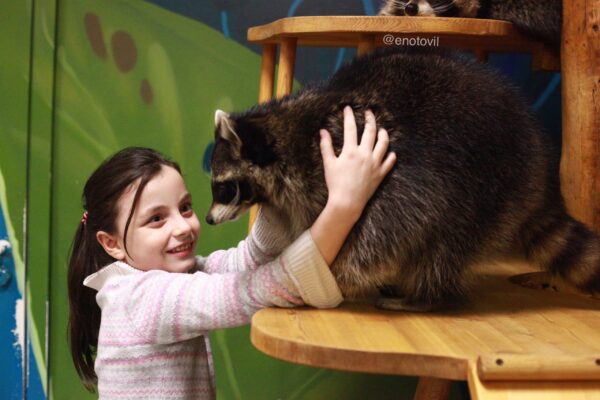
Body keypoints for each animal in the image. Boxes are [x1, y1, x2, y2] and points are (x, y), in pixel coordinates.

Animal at [206, 49, 600, 312]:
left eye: (223, 187)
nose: (208, 219)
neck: (285, 132)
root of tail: (538, 173)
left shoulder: (367, 162)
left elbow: (382, 227)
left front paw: (338, 273)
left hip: (484, 181)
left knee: (442, 237)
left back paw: (426, 296)